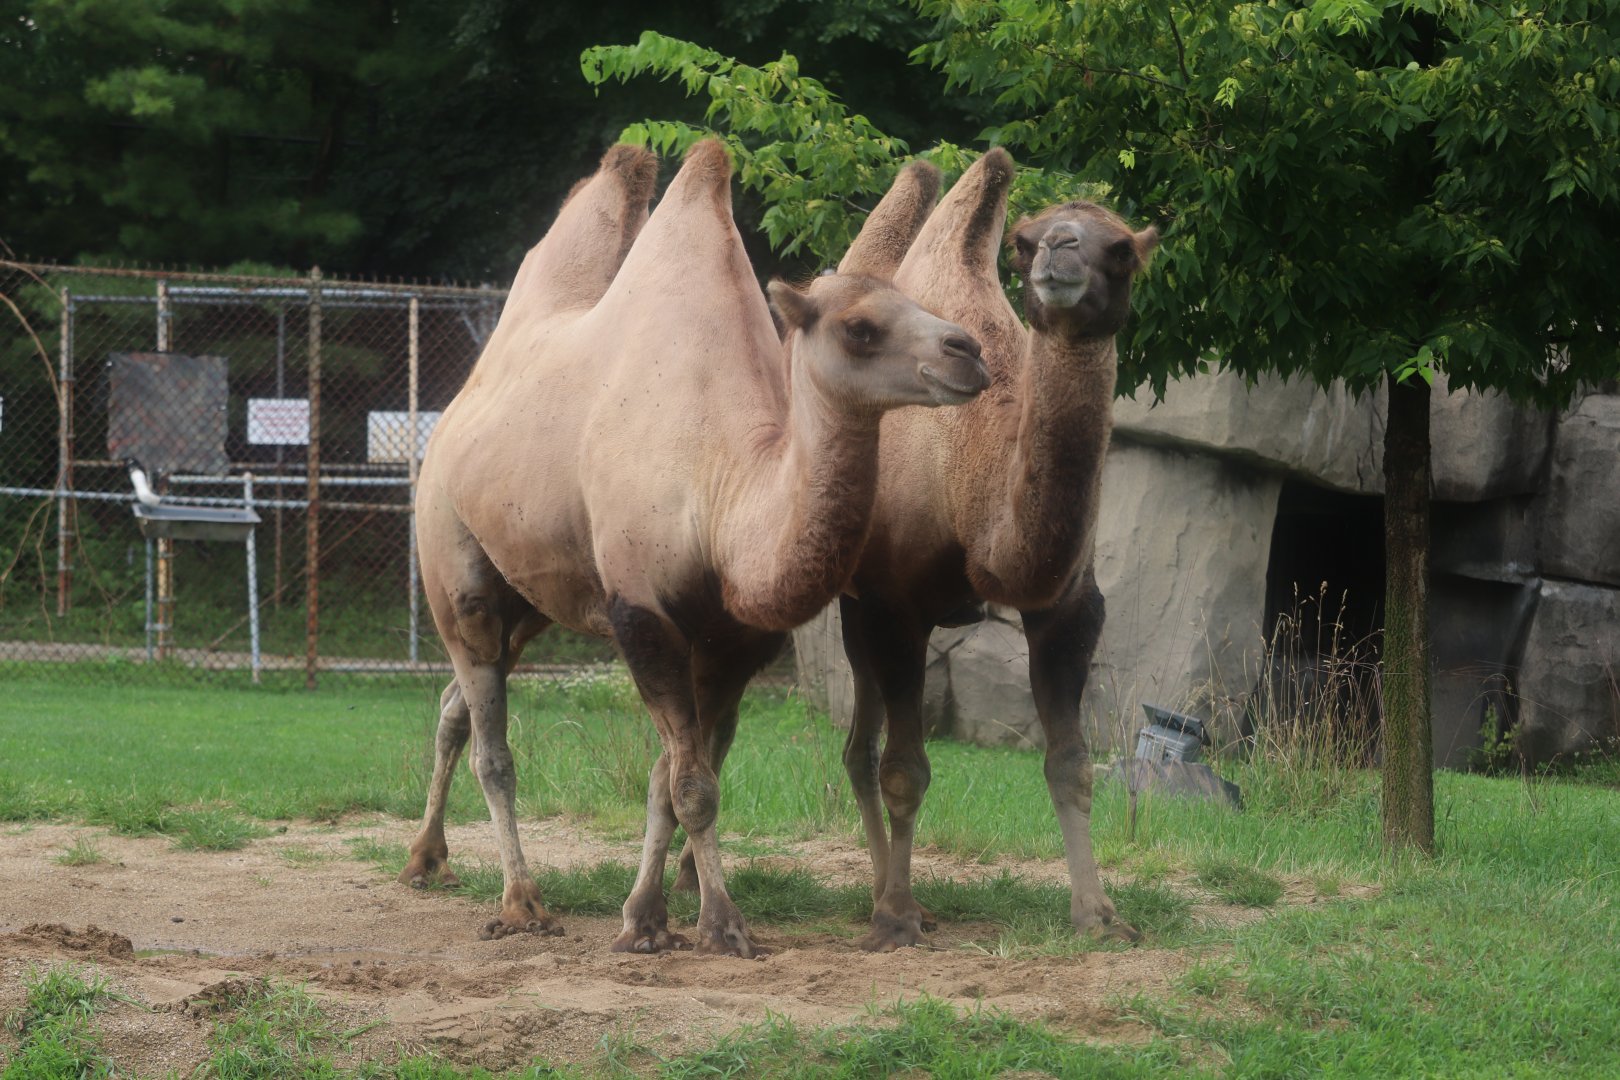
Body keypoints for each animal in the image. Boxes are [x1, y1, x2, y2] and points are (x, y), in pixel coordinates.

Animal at [400, 140, 988, 958]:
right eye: (861, 327)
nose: (970, 352)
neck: (721, 492)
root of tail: (459, 406)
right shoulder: (642, 612)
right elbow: (691, 784)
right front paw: (721, 924)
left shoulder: (733, 639)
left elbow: (671, 778)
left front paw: (645, 917)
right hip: (455, 561)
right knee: (493, 739)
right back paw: (521, 903)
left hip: (535, 593)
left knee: (455, 702)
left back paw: (426, 859)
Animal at [673, 150, 1158, 950]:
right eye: (1024, 242)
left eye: (1120, 249)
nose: (1060, 252)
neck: (974, 480)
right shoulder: (896, 605)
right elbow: (907, 769)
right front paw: (895, 919)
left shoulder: (1068, 608)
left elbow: (1071, 764)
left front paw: (1098, 914)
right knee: (757, 729)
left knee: (851, 747)